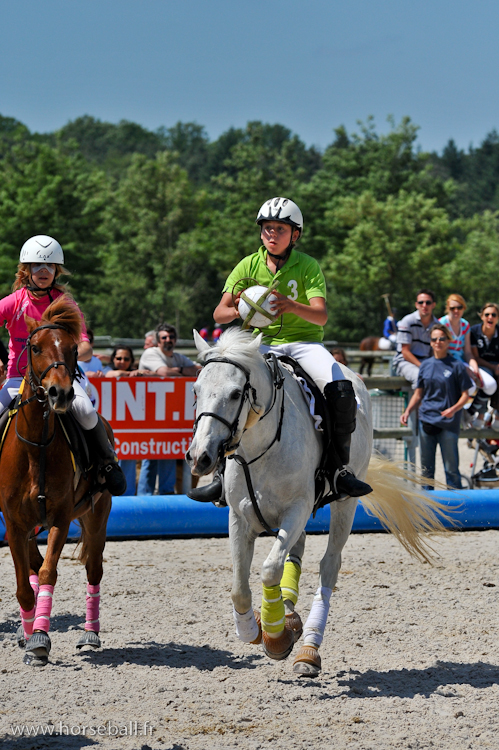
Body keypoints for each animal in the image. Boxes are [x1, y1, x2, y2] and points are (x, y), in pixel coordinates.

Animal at [0, 296, 112, 667]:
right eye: (35, 347)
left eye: (74, 348)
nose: (59, 393)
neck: (36, 446)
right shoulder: (15, 523)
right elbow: (24, 585)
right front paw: (30, 633)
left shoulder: (61, 518)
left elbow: (49, 573)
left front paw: (40, 639)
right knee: (34, 567)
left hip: (97, 515)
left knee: (93, 570)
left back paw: (90, 634)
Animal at [186, 328, 448, 677]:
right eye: (196, 390)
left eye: (234, 393)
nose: (200, 457)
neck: (261, 448)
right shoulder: (240, 519)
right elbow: (239, 588)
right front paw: (252, 630)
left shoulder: (296, 510)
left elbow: (269, 569)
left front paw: (275, 637)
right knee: (296, 552)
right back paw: (289, 615)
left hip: (345, 503)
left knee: (328, 566)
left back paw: (308, 647)